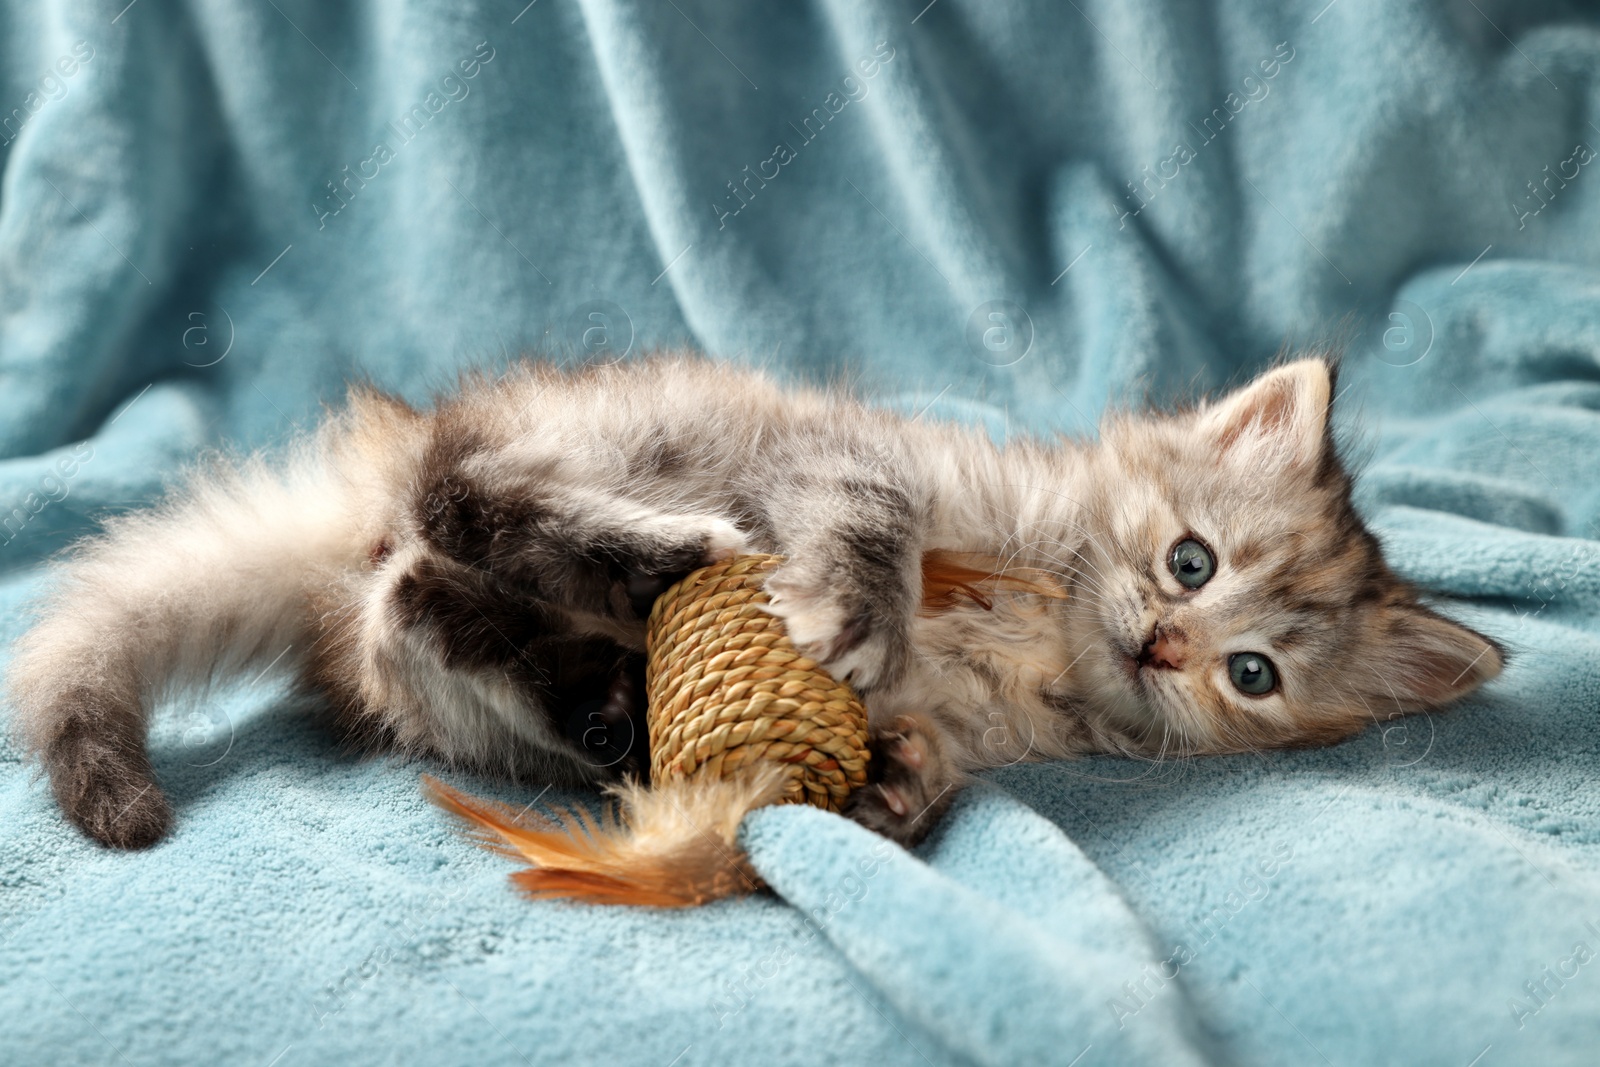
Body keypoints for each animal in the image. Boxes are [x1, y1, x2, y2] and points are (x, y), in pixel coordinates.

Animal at [3, 355, 1497, 863]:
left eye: (1252, 675)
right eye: (1190, 561)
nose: (1165, 643)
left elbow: (933, 757)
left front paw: (897, 792)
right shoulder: (853, 460)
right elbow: (876, 516)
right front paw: (860, 614)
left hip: (434, 669)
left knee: (413, 601)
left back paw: (603, 697)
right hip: (624, 436)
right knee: (456, 500)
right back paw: (645, 561)